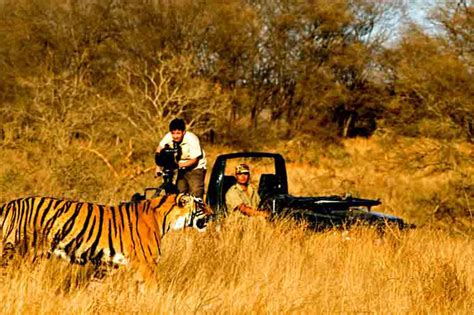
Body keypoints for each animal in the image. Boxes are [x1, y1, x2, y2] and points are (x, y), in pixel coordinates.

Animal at [0, 193, 213, 274]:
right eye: (201, 204)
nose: (214, 214)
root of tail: (9, 204)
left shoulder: (107, 265)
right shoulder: (147, 264)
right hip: (19, 252)